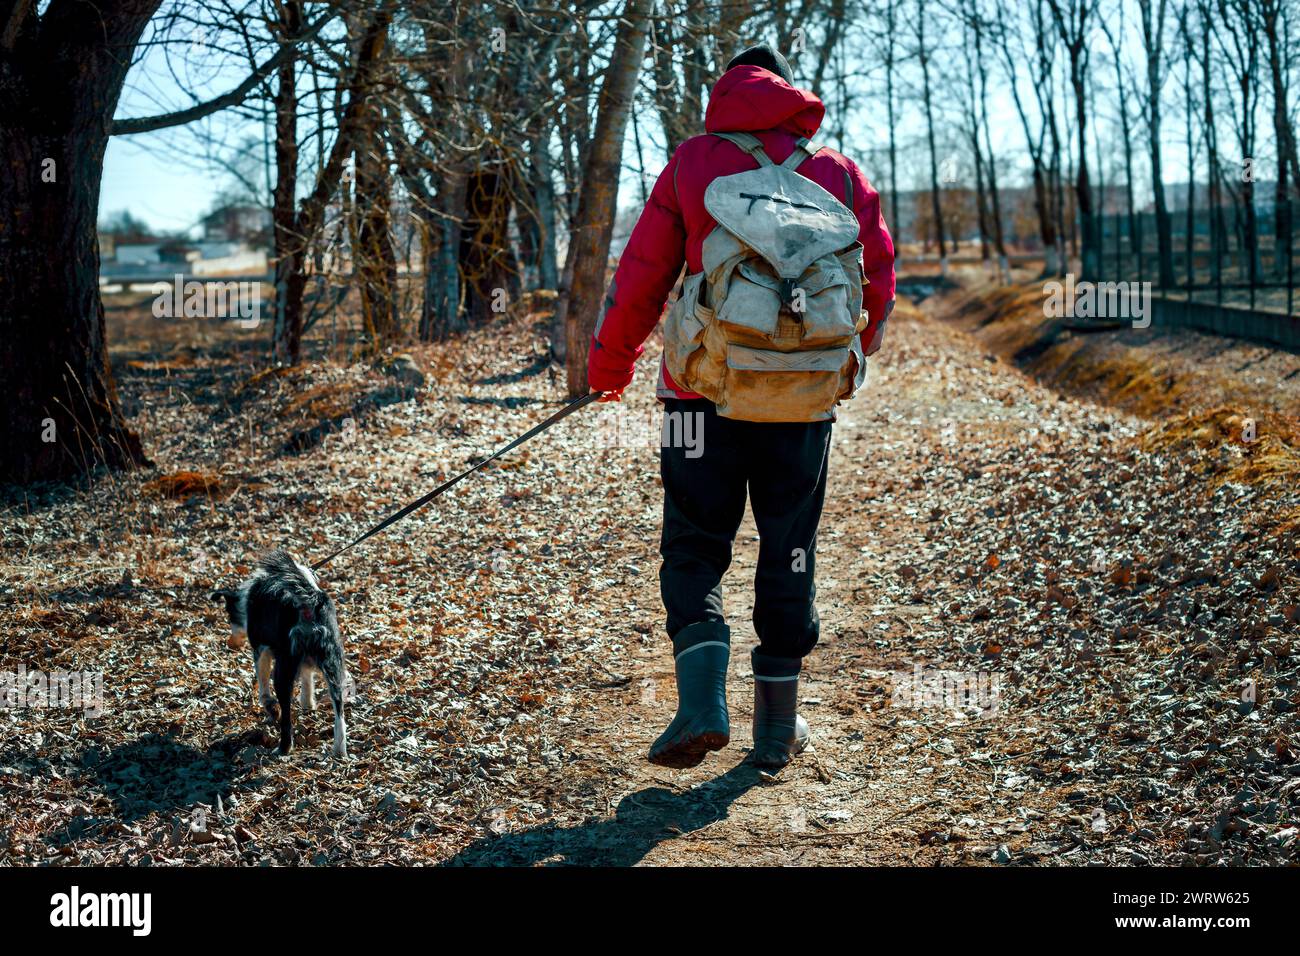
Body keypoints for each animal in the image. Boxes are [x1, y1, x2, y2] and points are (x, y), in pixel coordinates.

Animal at [215, 548, 353, 759]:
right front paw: (307, 703)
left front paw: (271, 708)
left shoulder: (260, 649)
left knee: (287, 718)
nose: (230, 644)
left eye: (229, 616)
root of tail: (308, 601)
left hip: (283, 670)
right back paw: (339, 750)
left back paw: (283, 747)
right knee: (339, 712)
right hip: (333, 663)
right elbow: (307, 678)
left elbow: (263, 688)